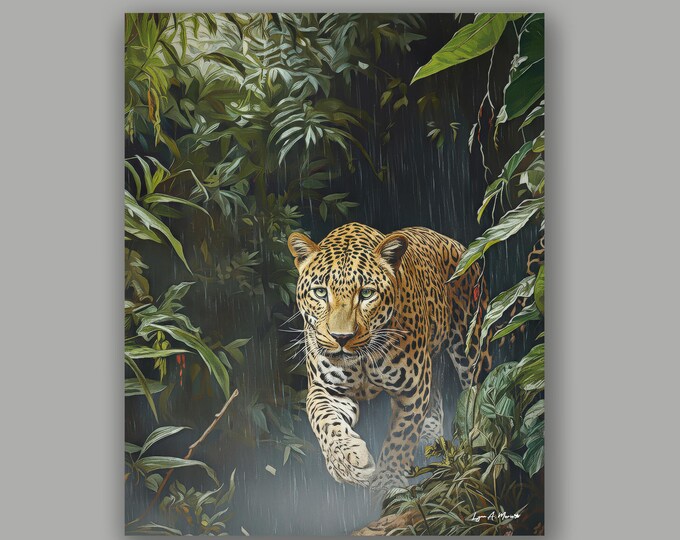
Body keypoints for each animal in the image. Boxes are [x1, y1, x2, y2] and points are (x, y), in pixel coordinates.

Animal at [287, 222, 492, 491]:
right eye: (321, 292)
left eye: (366, 294)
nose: (341, 337)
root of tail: (451, 241)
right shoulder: (327, 388)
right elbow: (322, 417)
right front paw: (346, 462)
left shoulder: (412, 388)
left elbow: (400, 438)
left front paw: (388, 481)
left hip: (473, 346)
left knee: (477, 393)